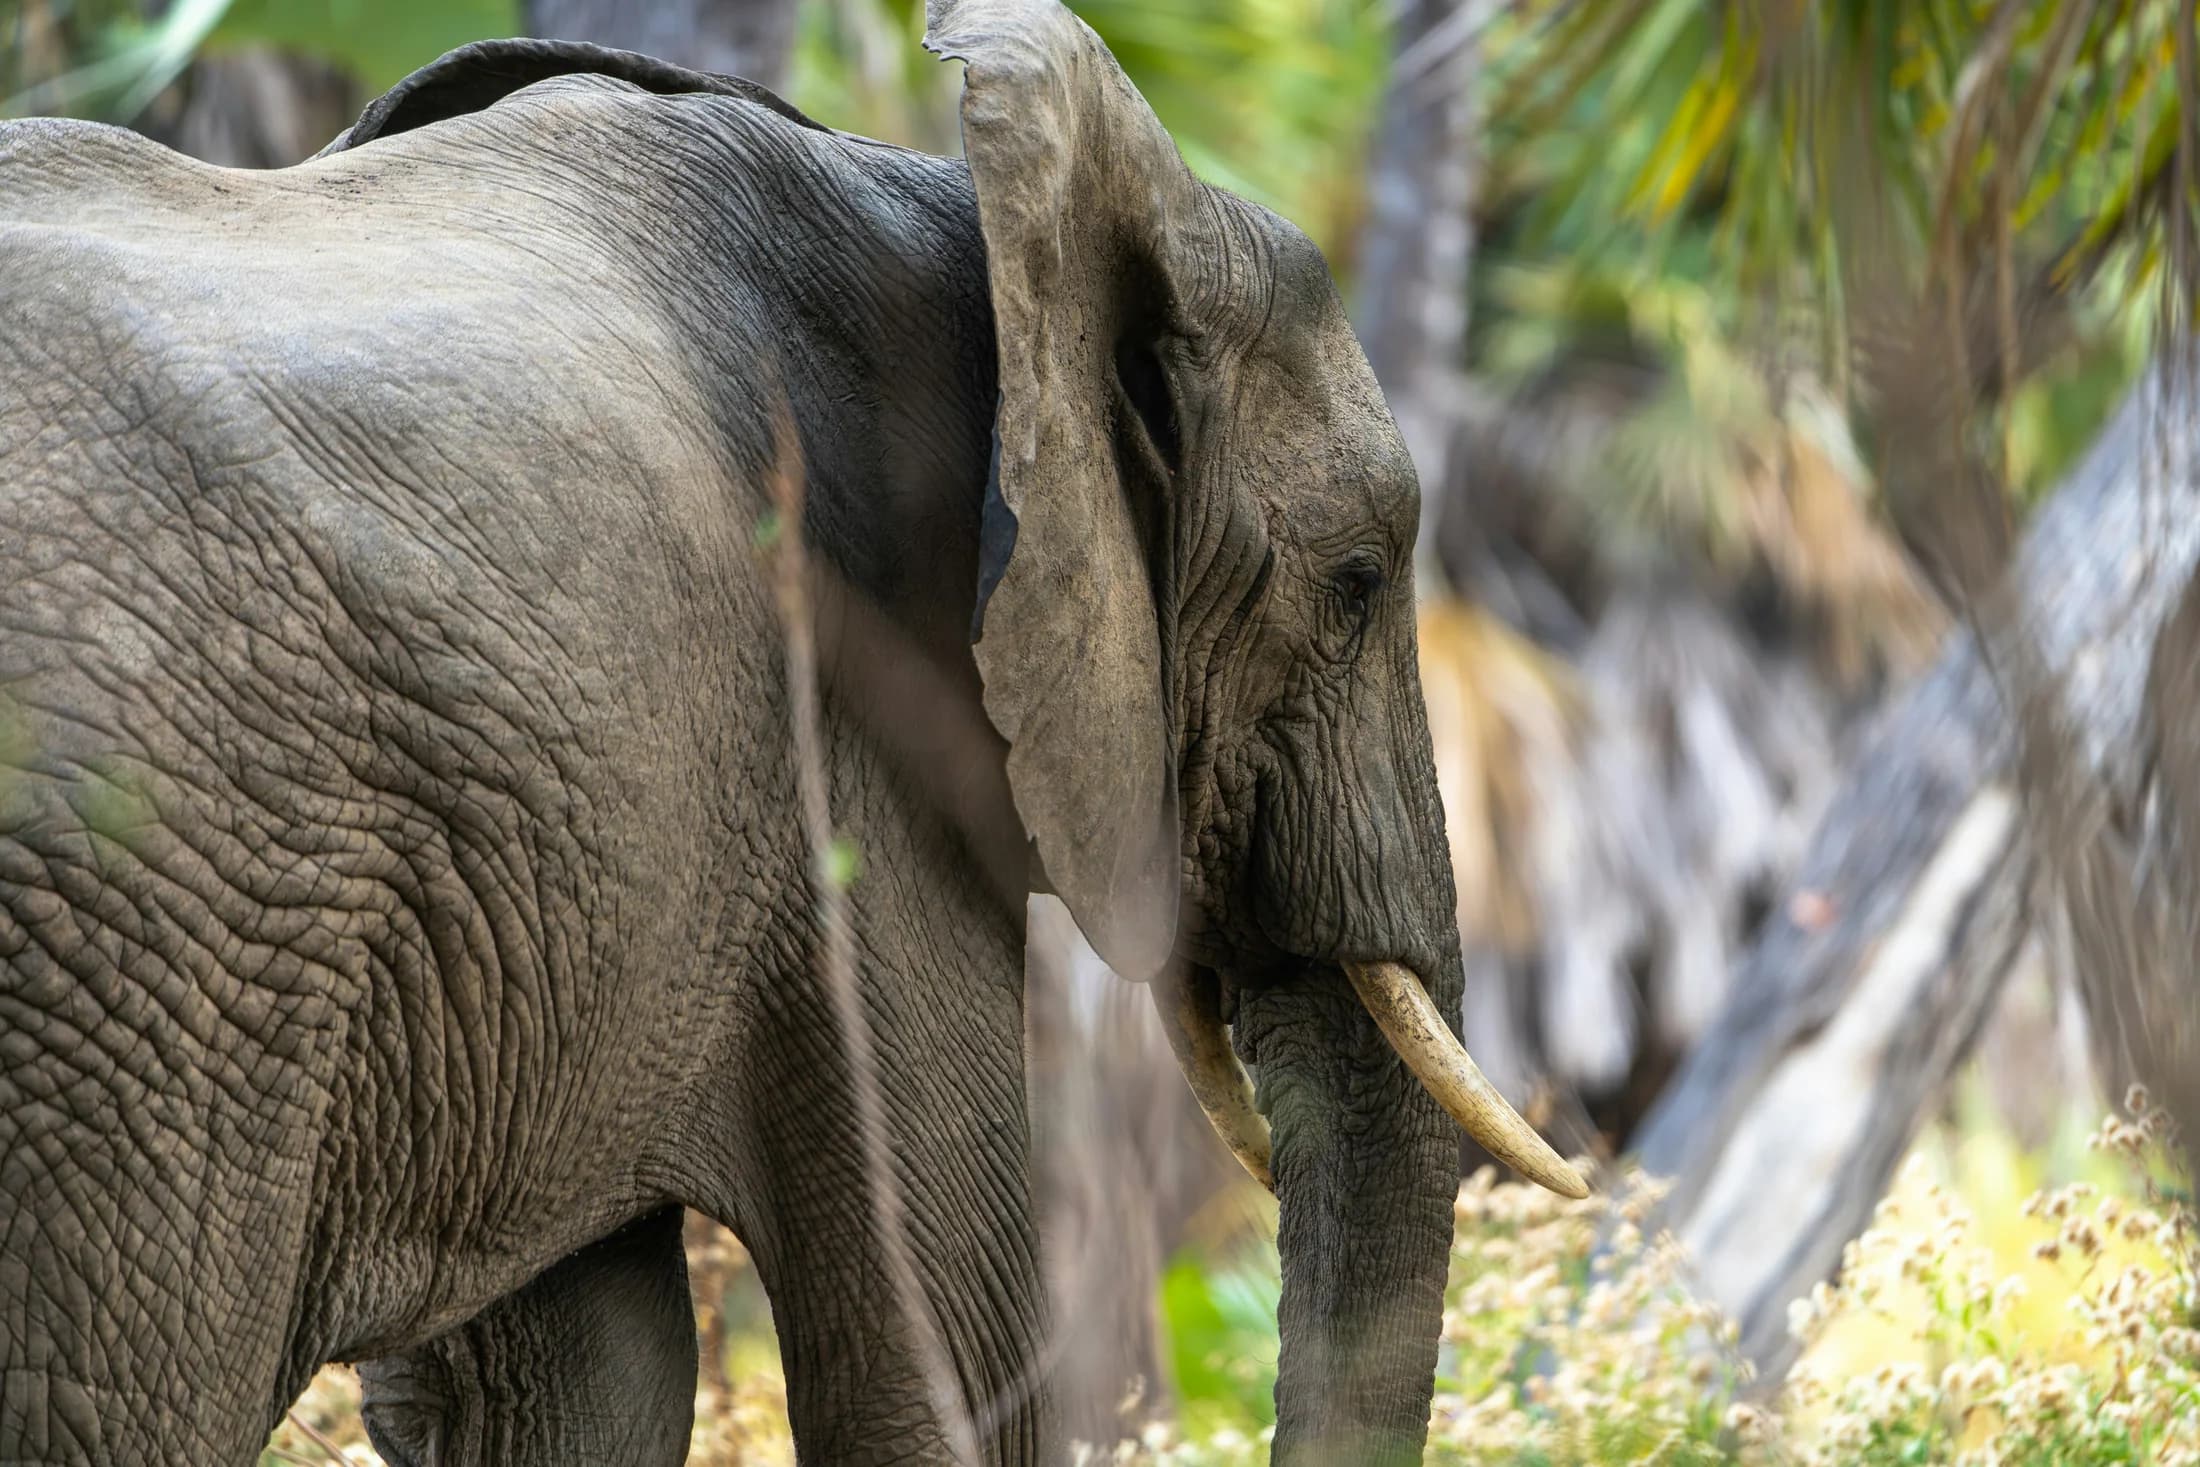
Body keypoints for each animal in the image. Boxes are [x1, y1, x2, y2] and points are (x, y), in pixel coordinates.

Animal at [0, 2, 1586, 1463]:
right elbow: (939, 1360)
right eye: (1358, 583)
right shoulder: (848, 748)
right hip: (152, 967)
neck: (972, 221)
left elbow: (582, 1380)